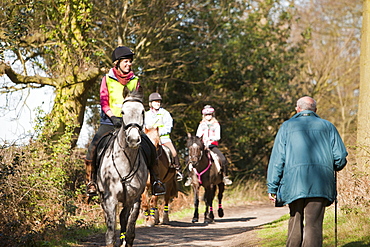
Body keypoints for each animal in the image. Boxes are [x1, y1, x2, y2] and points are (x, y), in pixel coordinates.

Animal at [97, 87, 149, 247]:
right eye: (123, 112)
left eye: (143, 111)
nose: (133, 140)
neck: (126, 162)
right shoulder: (110, 198)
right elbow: (110, 233)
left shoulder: (134, 199)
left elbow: (130, 231)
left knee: (123, 218)